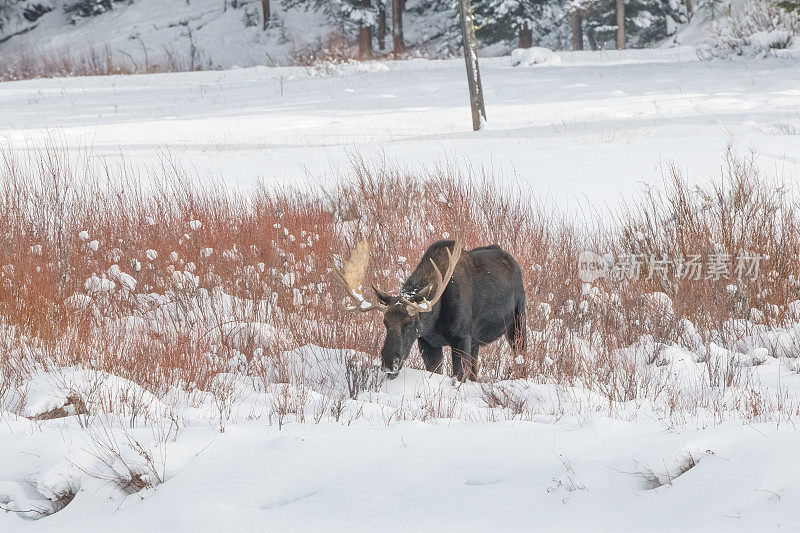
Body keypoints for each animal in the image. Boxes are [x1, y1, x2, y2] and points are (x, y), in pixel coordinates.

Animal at [332, 235, 524, 380]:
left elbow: (458, 376)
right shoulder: (427, 342)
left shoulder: (461, 338)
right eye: (385, 322)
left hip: (518, 321)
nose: (389, 362)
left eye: (409, 322)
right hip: (476, 342)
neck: (434, 321)